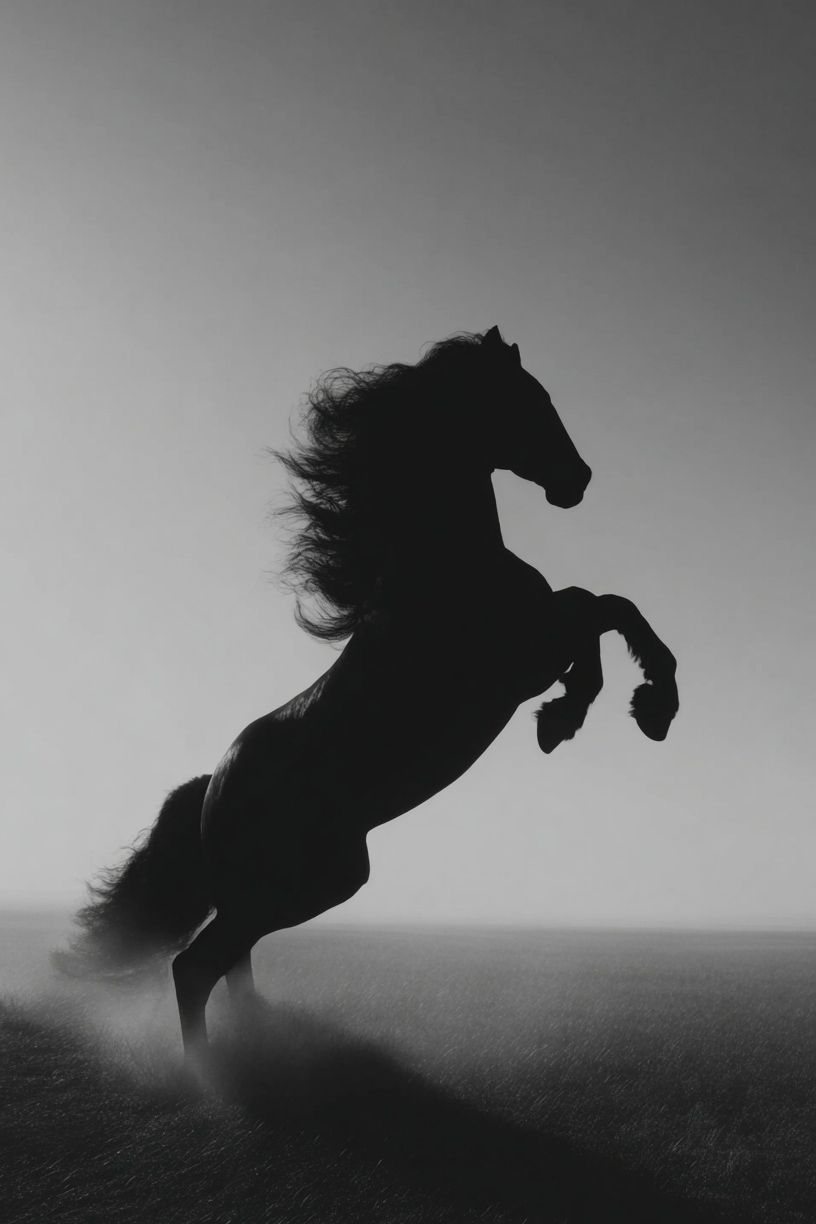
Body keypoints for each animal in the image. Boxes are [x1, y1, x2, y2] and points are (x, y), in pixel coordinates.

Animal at [54, 326, 678, 1061]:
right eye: (527, 398)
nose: (576, 480)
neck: (444, 565)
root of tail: (210, 789)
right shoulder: (524, 654)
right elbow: (602, 609)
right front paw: (629, 709)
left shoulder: (536, 644)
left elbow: (604, 611)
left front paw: (582, 715)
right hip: (304, 883)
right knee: (194, 966)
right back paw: (215, 1072)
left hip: (302, 883)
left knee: (226, 959)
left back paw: (258, 1035)